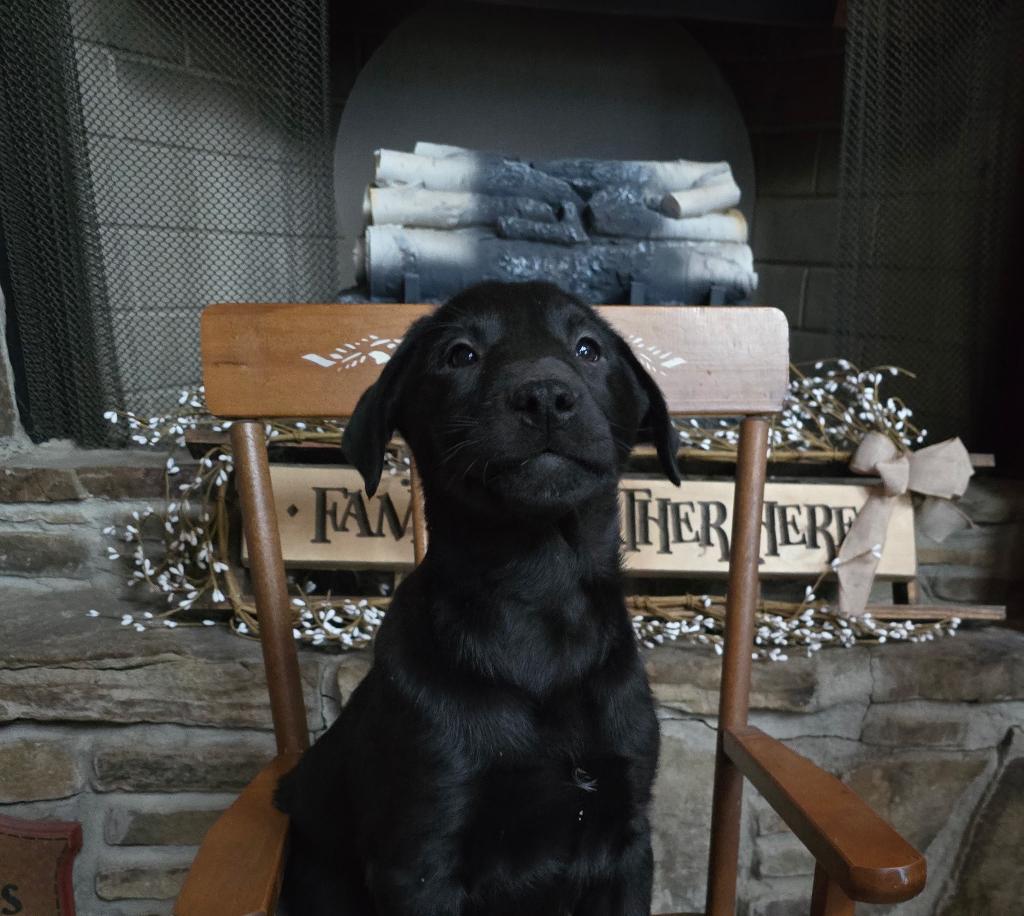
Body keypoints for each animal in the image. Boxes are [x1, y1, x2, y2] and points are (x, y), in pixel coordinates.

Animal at [276, 280, 680, 915]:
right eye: (460, 354)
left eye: (588, 349)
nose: (546, 397)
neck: (538, 594)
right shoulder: (421, 859)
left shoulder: (627, 839)